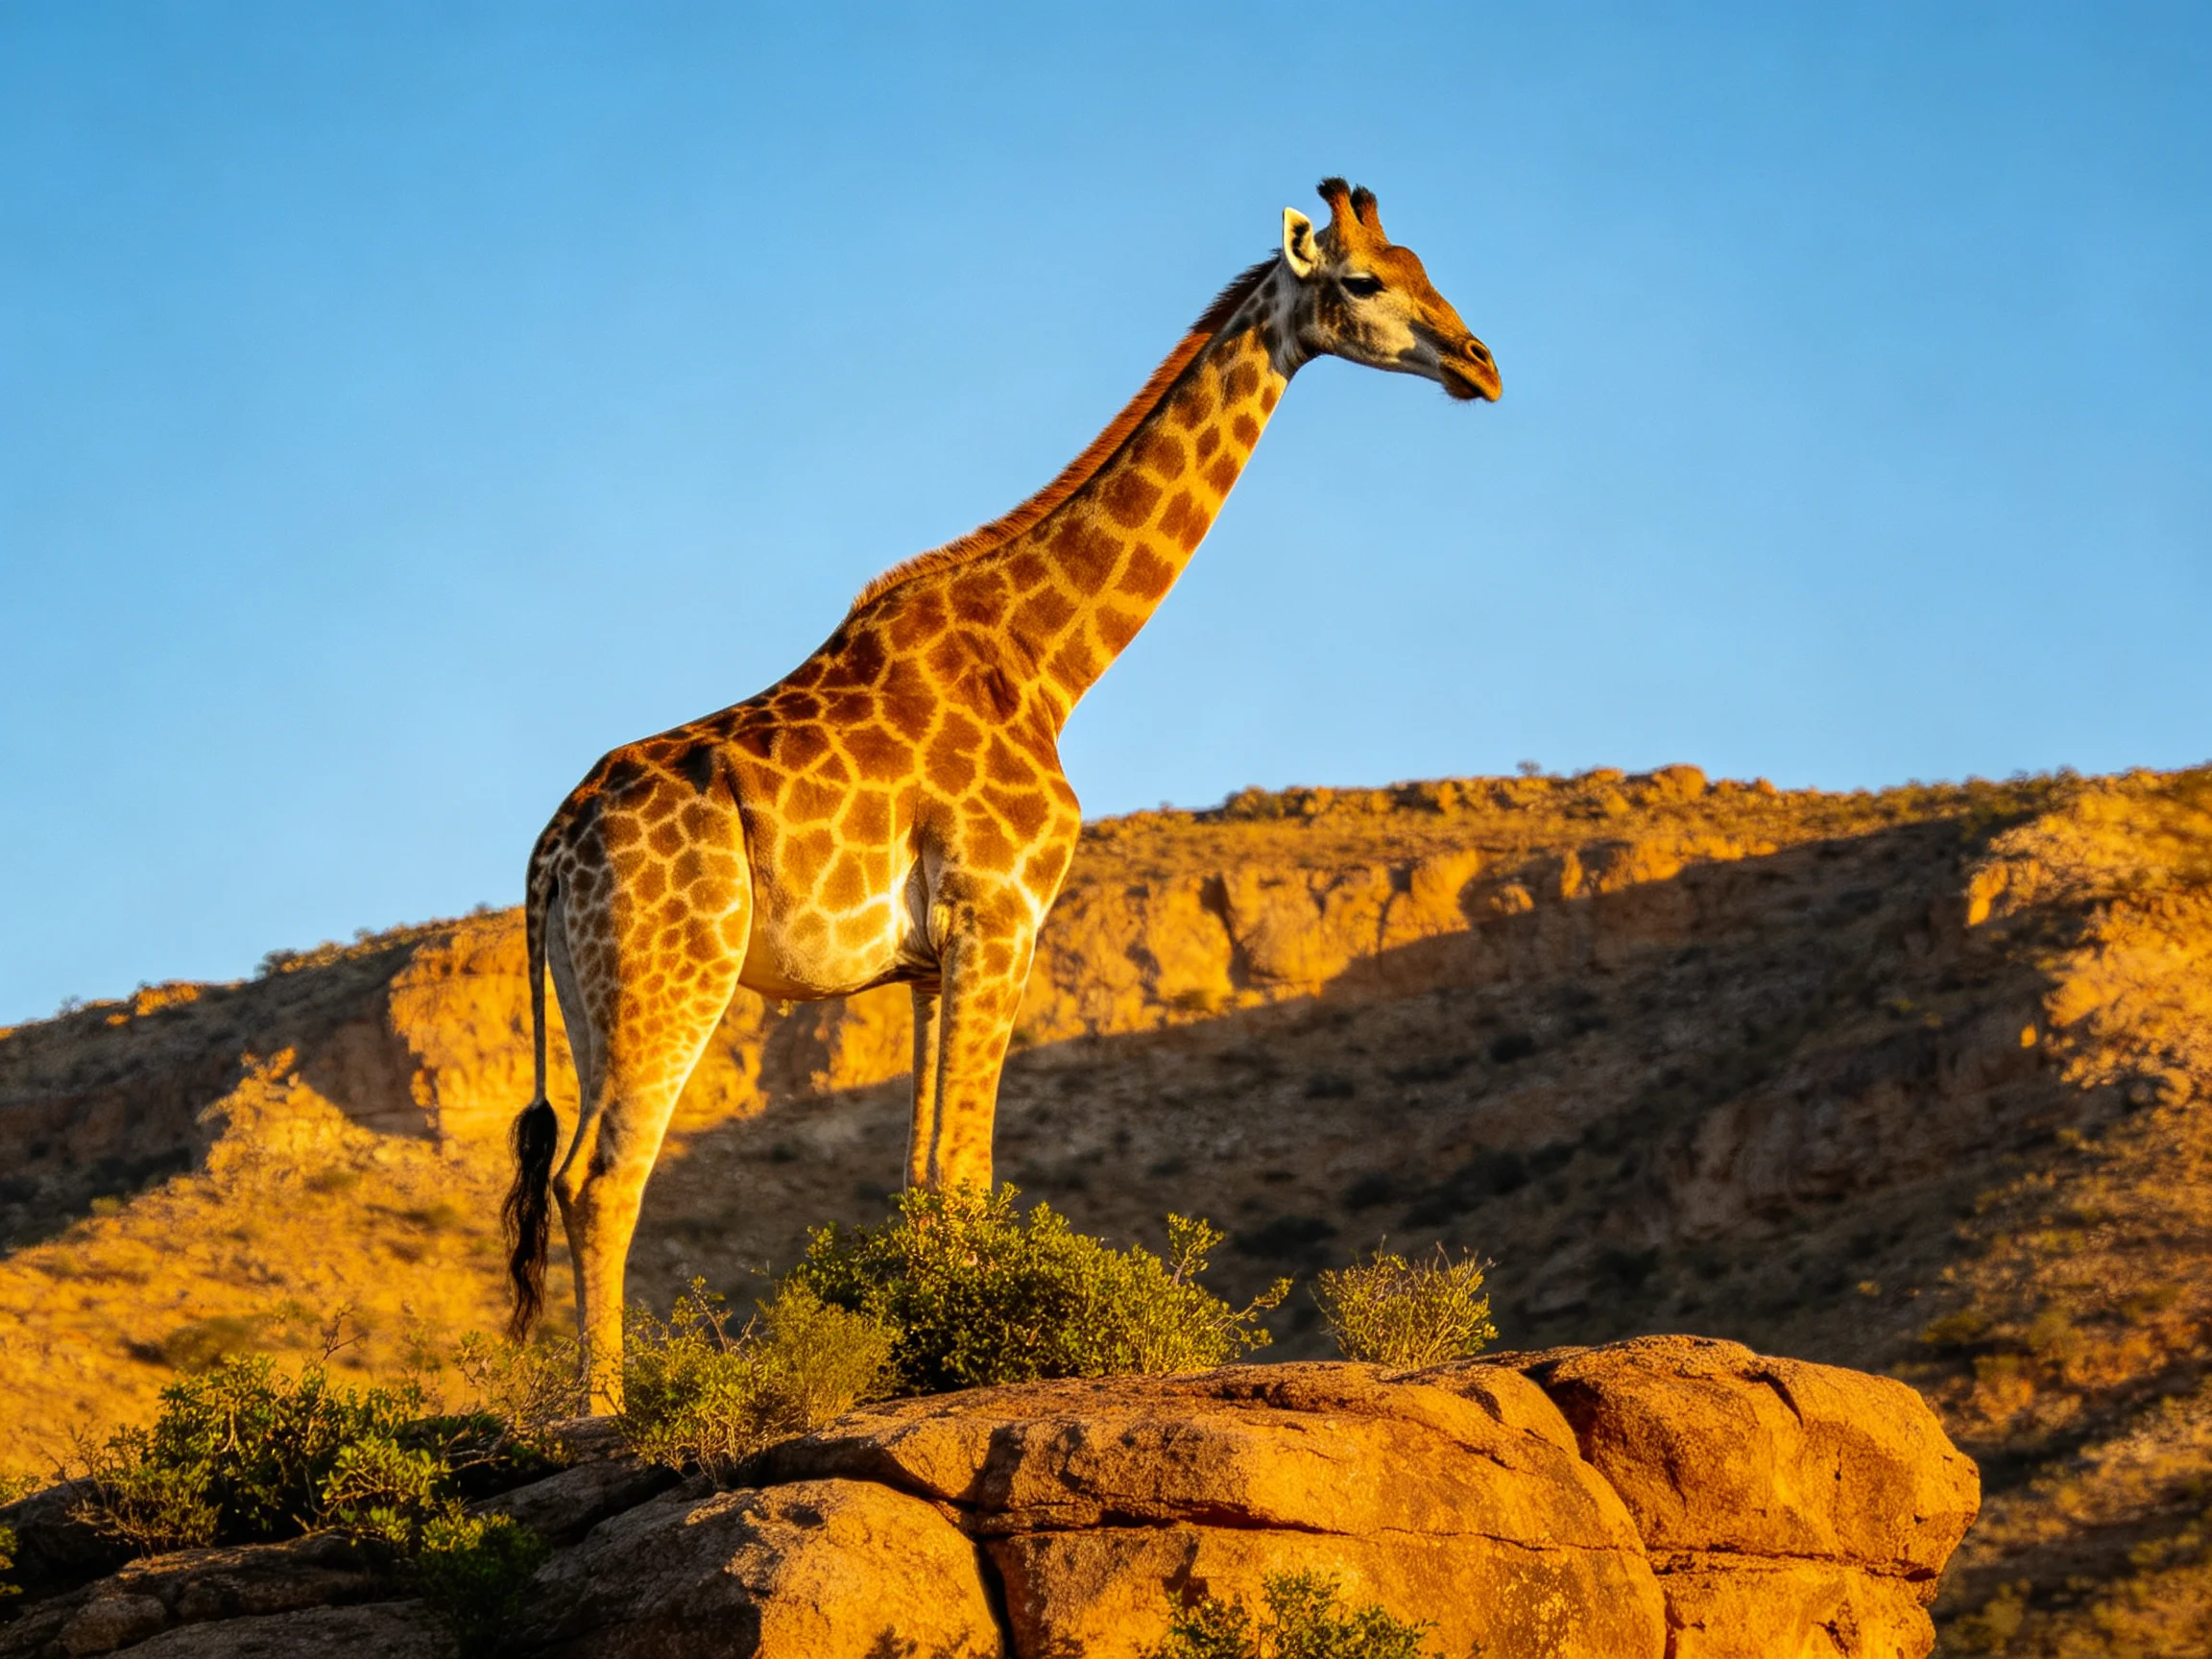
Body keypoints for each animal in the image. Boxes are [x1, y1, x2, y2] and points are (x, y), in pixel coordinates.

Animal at [505, 179, 1500, 1408]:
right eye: (1363, 280)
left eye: (1425, 267)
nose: (1481, 364)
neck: (1048, 660)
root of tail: (549, 851)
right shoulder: (1005, 913)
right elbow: (970, 1170)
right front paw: (967, 1364)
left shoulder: (930, 961)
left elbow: (926, 1179)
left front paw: (932, 1359)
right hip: (674, 972)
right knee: (606, 1179)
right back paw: (603, 1410)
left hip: (591, 995)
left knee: (566, 1177)